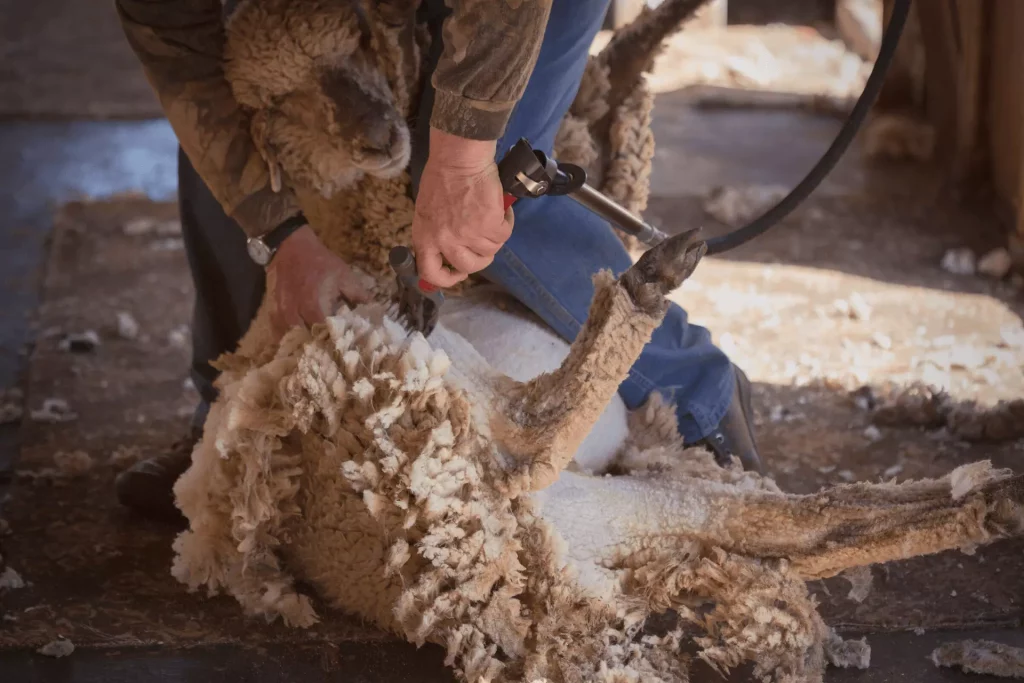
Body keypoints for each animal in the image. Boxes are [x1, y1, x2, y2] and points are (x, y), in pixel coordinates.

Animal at [172, 0, 1024, 679]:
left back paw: (988, 503)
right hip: (410, 380)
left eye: (358, 39)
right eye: (277, 101)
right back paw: (647, 283)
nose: (382, 135)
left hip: (609, 505)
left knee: (789, 521)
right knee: (530, 430)